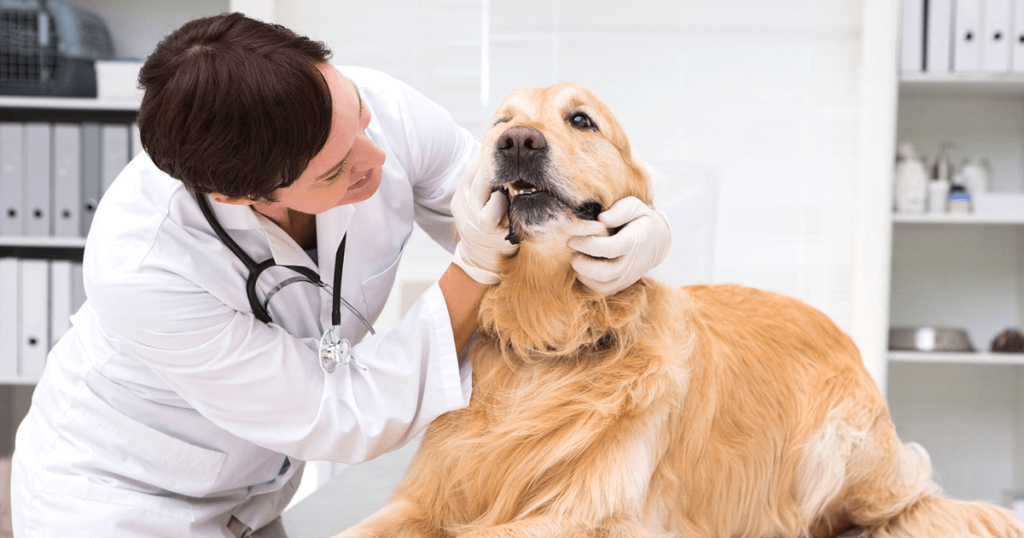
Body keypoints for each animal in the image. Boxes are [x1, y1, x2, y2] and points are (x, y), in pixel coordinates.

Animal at [337, 83, 1024, 536]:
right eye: (499, 122)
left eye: (581, 119)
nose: (516, 142)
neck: (550, 342)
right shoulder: (421, 499)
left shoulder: (588, 515)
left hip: (840, 449)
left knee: (908, 508)